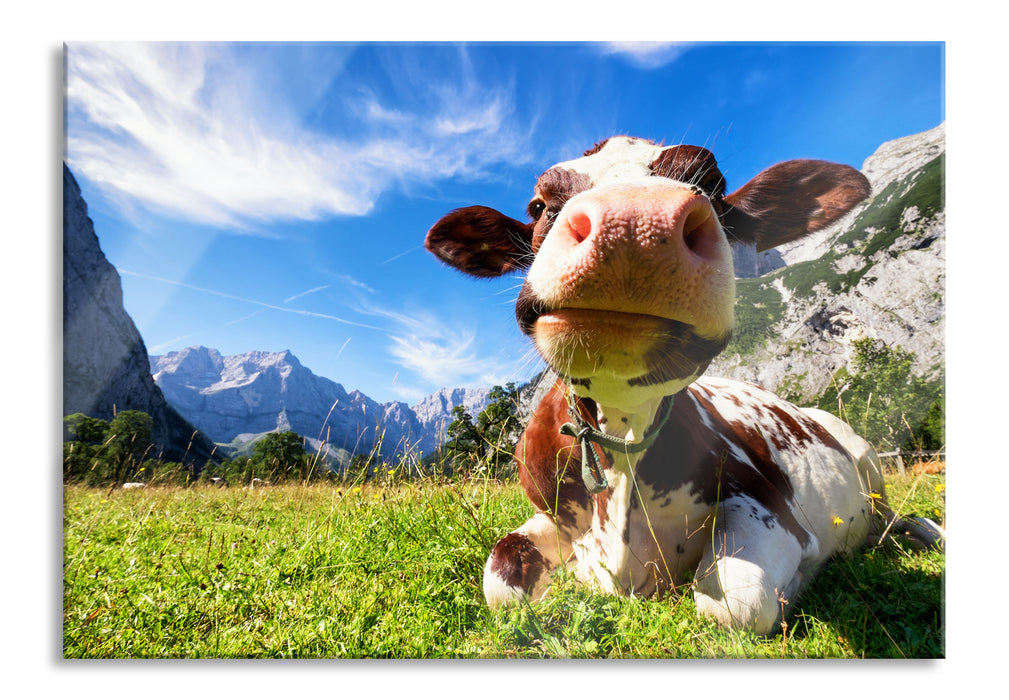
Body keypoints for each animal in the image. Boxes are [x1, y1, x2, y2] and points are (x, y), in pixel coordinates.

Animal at [421, 136, 940, 637]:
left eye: (712, 184)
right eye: (538, 204)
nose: (634, 223)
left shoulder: (768, 503)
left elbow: (734, 603)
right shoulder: (547, 517)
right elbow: (501, 580)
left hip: (867, 458)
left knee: (890, 518)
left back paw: (920, 532)